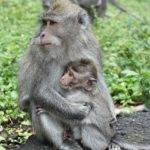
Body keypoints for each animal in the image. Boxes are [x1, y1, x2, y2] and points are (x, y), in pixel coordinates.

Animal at [18, 0, 115, 149]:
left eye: (52, 23)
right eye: (45, 23)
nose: (42, 34)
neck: (67, 45)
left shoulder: (92, 45)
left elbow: (98, 79)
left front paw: (112, 115)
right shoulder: (41, 53)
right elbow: (41, 91)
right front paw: (79, 111)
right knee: (37, 102)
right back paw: (64, 142)